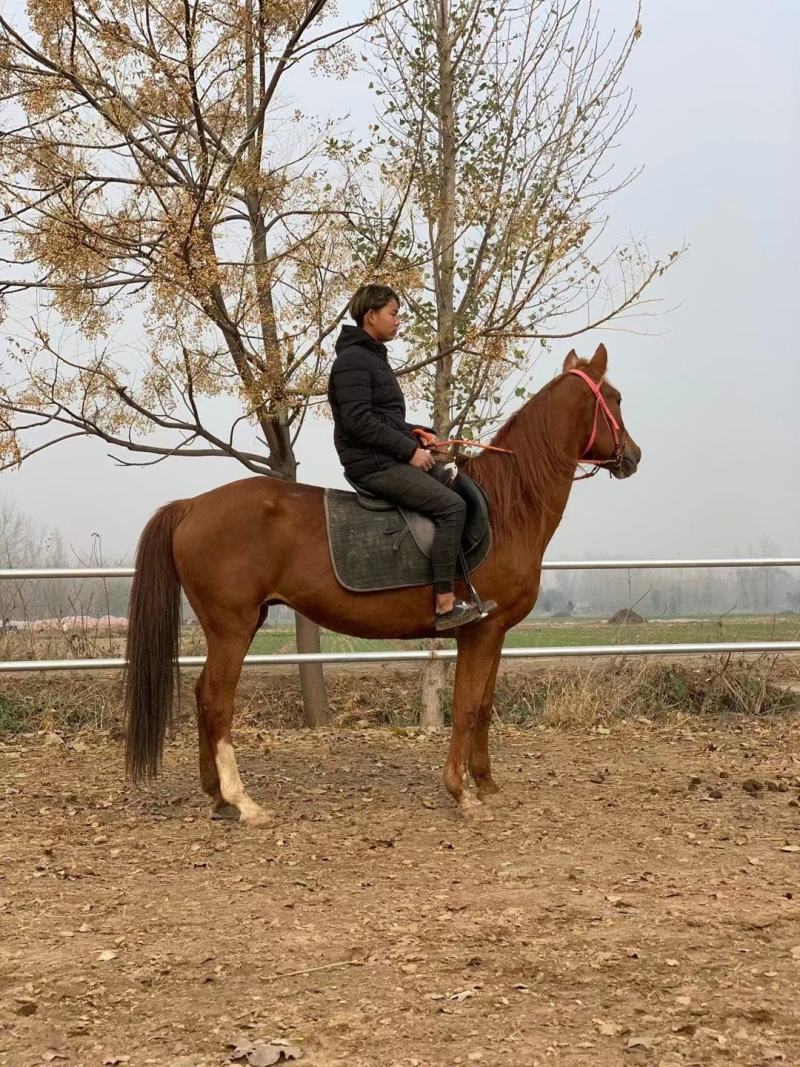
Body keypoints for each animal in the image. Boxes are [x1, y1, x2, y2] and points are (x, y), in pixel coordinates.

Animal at [124, 344, 641, 823]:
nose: (633, 456)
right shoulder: (480, 631)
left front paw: (486, 783)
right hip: (232, 627)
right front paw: (461, 792)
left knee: (202, 696)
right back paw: (242, 801)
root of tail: (192, 505)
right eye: (614, 399)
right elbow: (466, 706)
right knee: (216, 701)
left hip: (241, 624)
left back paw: (217, 797)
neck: (505, 508)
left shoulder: (495, 634)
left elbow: (484, 706)